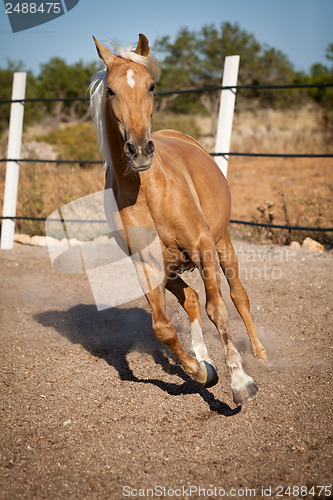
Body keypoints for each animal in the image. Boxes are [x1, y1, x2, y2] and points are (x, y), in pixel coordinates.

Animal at [89, 33, 264, 404]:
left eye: (151, 86)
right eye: (111, 90)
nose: (140, 150)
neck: (149, 193)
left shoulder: (203, 247)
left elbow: (218, 309)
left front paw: (241, 382)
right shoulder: (146, 265)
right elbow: (163, 328)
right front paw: (203, 371)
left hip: (222, 245)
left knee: (238, 296)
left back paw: (260, 354)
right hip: (171, 270)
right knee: (192, 300)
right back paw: (203, 357)